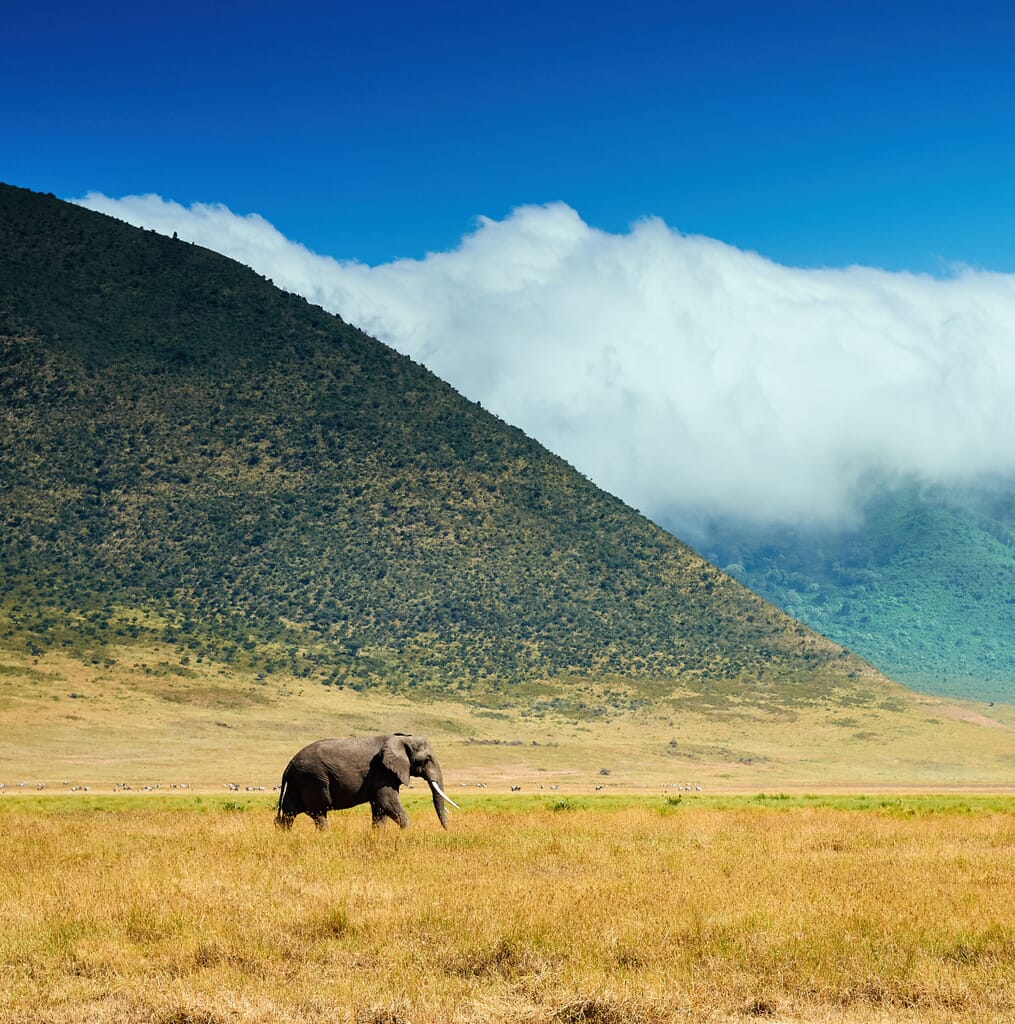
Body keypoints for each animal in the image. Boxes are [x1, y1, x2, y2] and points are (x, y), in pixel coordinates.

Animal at [275, 733, 458, 831]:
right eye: (426, 760)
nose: (447, 831)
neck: (401, 739)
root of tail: (289, 764)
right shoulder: (381, 771)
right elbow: (387, 803)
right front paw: (408, 832)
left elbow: (379, 808)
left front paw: (377, 835)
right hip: (313, 779)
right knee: (318, 812)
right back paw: (325, 835)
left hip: (298, 781)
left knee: (288, 813)